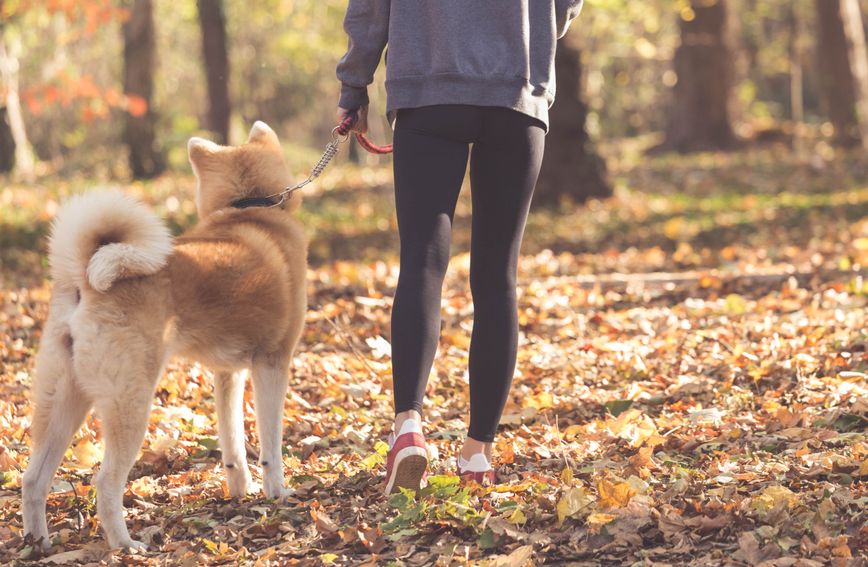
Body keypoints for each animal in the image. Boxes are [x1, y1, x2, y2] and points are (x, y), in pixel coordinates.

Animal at [20, 121, 308, 552]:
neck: (250, 209)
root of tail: (85, 278)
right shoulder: (272, 363)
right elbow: (270, 444)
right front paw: (277, 493)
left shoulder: (228, 373)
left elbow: (233, 444)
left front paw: (240, 490)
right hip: (130, 403)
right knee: (105, 482)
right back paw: (125, 545)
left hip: (63, 402)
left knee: (33, 479)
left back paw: (38, 544)